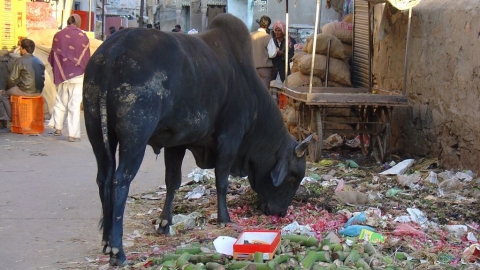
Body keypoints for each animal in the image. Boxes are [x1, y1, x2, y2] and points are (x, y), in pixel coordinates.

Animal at [84, 13, 312, 264]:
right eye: (293, 175)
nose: (280, 213)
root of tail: (115, 47)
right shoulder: (230, 138)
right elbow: (221, 181)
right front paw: (224, 217)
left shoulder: (176, 142)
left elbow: (172, 181)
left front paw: (164, 223)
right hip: (135, 139)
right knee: (119, 182)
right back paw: (117, 250)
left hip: (97, 133)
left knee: (104, 179)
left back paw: (106, 242)